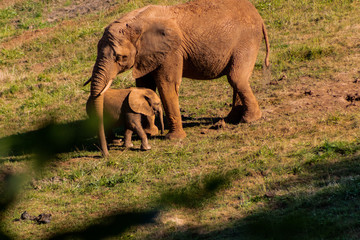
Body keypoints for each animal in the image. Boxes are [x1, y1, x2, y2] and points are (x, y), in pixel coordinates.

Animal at [85, 0, 270, 156]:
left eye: (120, 57)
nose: (106, 154)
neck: (136, 22)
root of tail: (258, 15)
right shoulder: (148, 54)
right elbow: (145, 84)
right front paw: (150, 132)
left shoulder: (171, 51)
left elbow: (166, 85)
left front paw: (172, 139)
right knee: (236, 79)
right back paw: (230, 120)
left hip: (246, 41)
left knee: (236, 78)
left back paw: (249, 120)